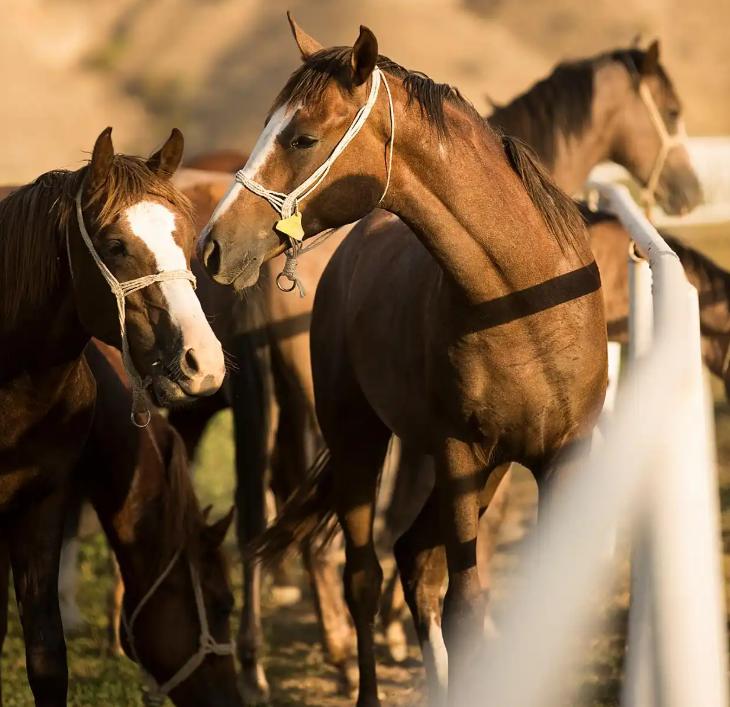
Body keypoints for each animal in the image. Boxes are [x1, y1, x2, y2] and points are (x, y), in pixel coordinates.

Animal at [168, 36, 703, 701]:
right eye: (672, 109)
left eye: (302, 138)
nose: (214, 245)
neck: (523, 296)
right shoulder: (456, 456)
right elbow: (463, 603)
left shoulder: (553, 456)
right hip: (356, 439)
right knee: (361, 570)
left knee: (404, 554)